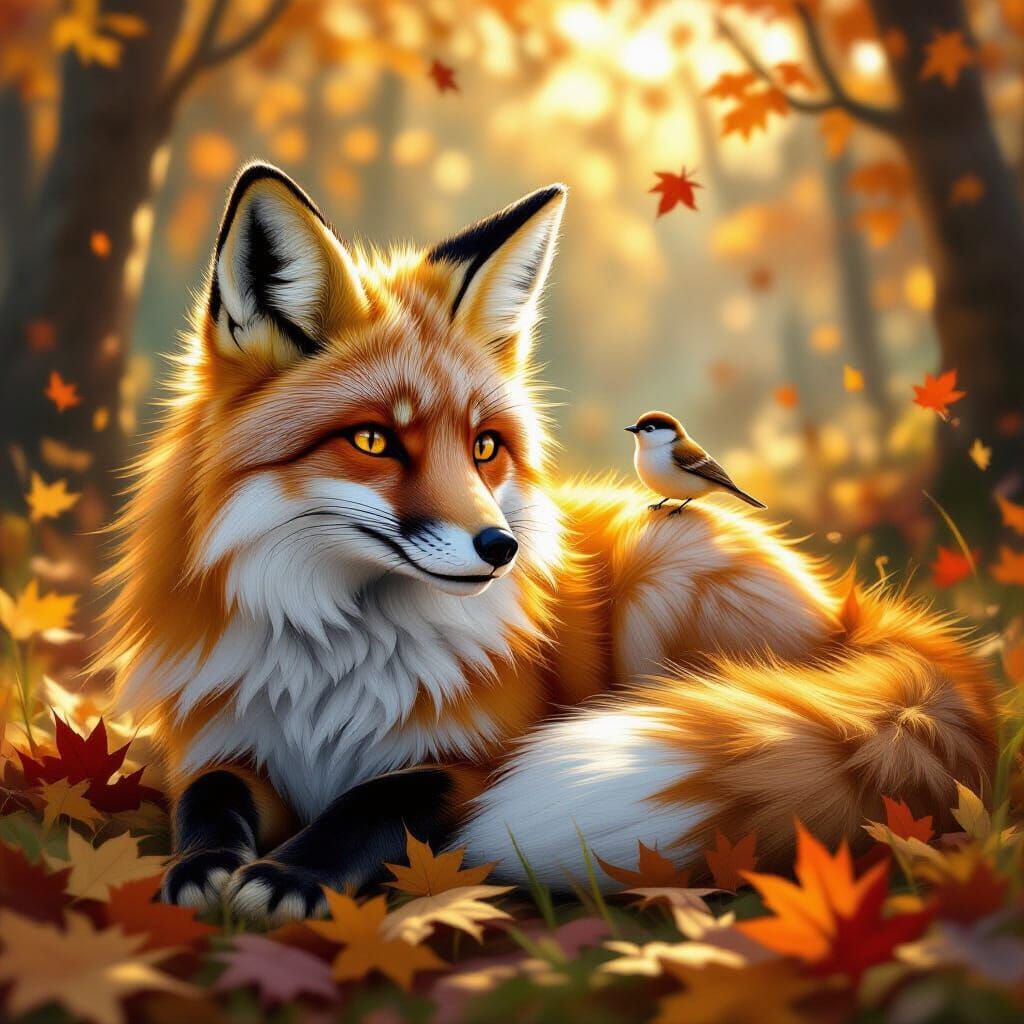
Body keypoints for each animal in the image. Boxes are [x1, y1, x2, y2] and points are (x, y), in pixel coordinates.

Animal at [99, 162, 996, 925]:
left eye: (485, 447)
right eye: (374, 441)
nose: (501, 549)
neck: (336, 662)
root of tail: (853, 610)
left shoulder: (476, 757)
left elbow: (376, 801)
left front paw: (292, 873)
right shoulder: (224, 741)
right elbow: (207, 800)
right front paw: (203, 867)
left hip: (664, 582)